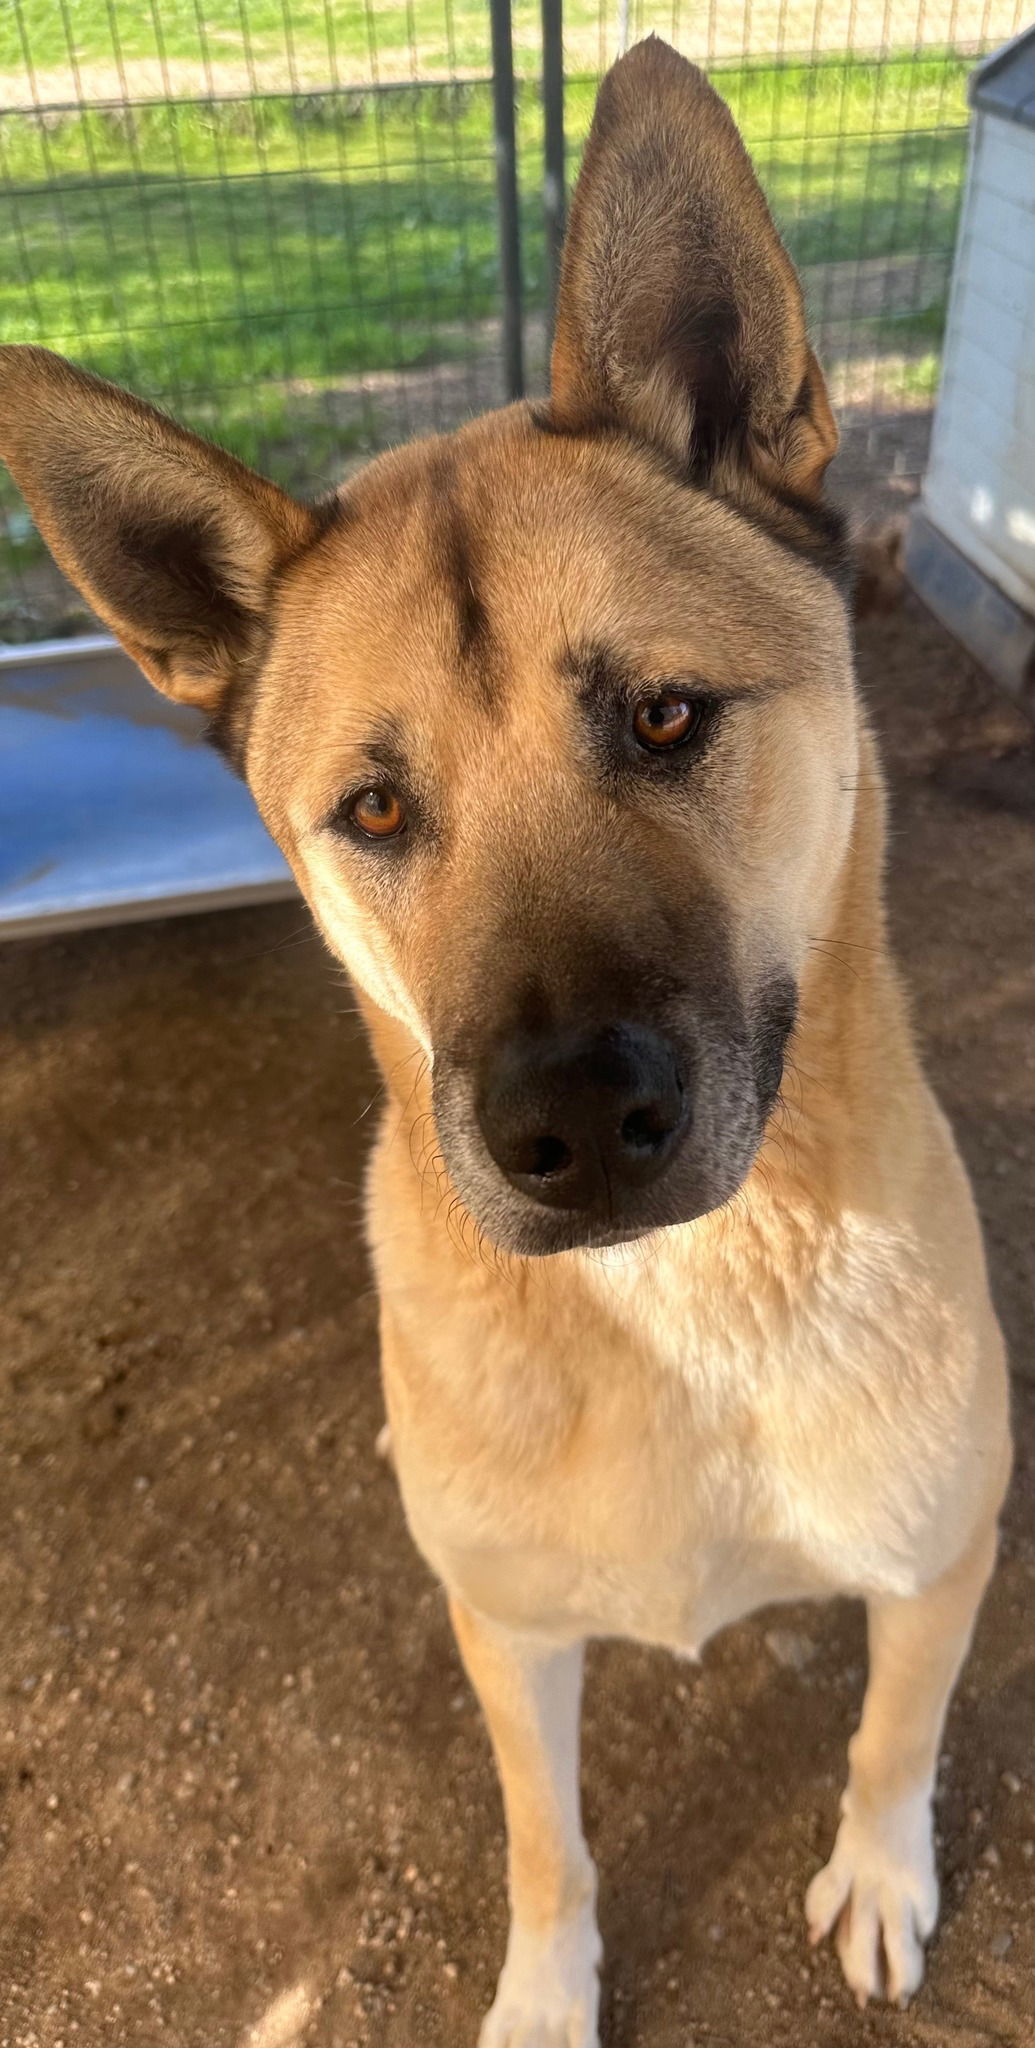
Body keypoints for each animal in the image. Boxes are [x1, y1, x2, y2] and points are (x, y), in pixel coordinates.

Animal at [0, 39, 1008, 2039]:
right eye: (376, 810)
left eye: (666, 714)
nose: (571, 1126)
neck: (684, 1313)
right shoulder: (507, 1632)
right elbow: (550, 1840)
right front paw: (546, 1990)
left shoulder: (941, 1557)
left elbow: (886, 1735)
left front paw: (878, 1872)